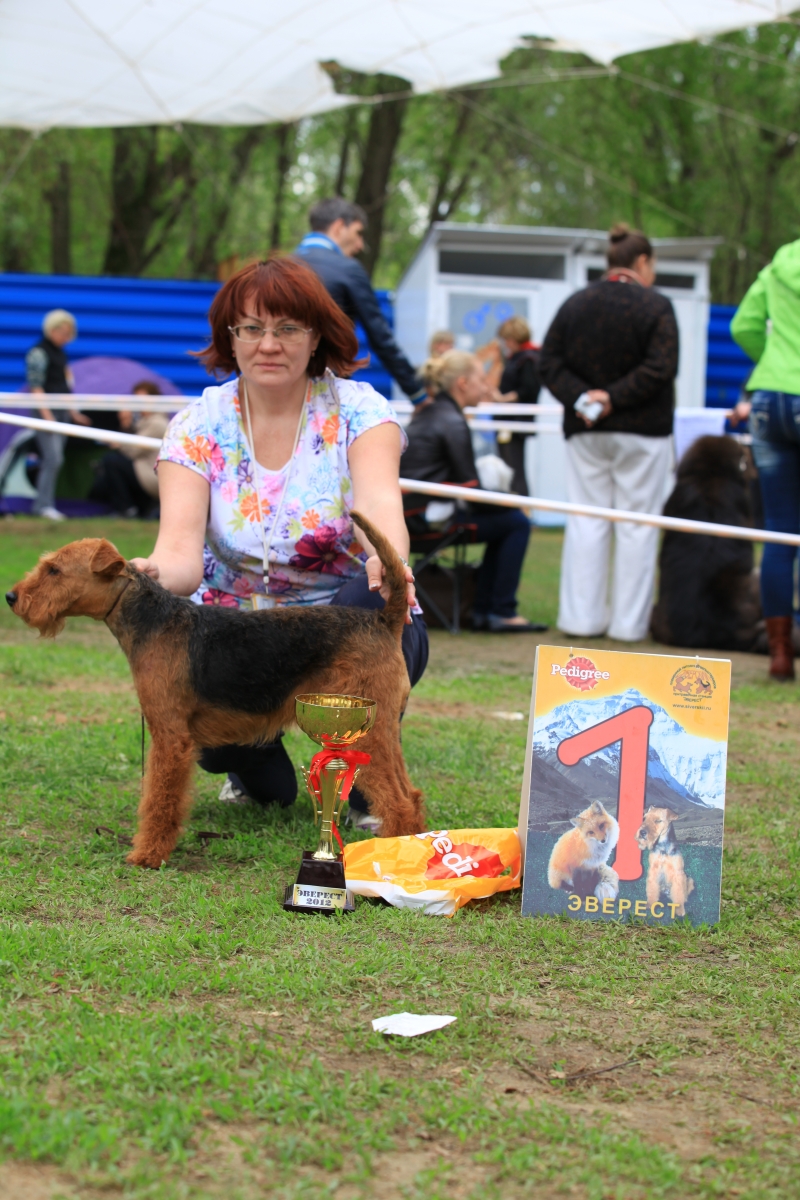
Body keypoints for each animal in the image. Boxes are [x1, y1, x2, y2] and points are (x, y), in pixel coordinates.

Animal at [7, 511, 424, 868]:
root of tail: (383, 619)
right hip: (381, 730)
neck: (151, 621)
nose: (12, 598)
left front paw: (148, 854)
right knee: (412, 794)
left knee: (399, 800)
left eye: (54, 569)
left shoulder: (170, 736)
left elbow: (160, 800)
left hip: (366, 732)